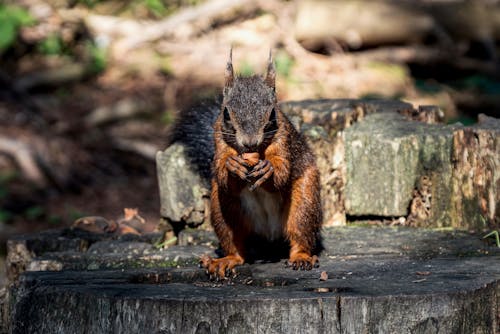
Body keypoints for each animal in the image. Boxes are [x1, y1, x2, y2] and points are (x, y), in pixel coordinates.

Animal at [170, 50, 322, 280]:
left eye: (272, 113)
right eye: (226, 113)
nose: (250, 142)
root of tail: (269, 237)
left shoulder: (283, 140)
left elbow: (282, 174)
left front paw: (269, 170)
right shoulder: (219, 142)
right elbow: (222, 174)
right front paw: (231, 166)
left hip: (305, 201)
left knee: (300, 231)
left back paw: (301, 257)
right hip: (223, 208)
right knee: (236, 244)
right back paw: (226, 260)